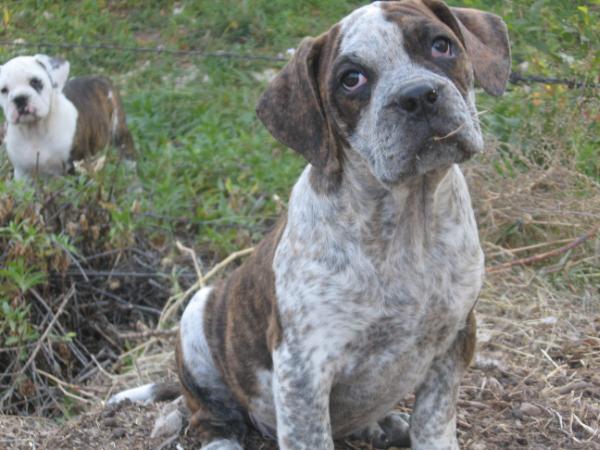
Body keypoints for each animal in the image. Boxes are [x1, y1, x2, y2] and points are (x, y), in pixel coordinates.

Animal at [0, 53, 135, 178]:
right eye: (3, 90)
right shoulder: (22, 174)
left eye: (35, 81)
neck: (35, 131)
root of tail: (100, 77)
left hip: (119, 130)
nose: (19, 98)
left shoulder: (78, 164)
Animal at [110, 1, 508, 448]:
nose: (418, 96)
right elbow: (312, 436)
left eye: (442, 46)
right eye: (351, 80)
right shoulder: (303, 371)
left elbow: (434, 423)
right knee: (210, 418)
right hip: (198, 317)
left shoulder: (454, 341)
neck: (408, 223)